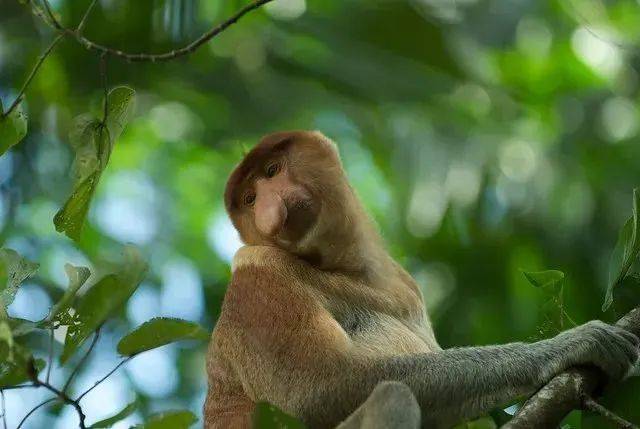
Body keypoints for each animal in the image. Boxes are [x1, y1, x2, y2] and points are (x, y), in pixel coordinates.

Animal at [204, 131, 636, 428]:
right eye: (250, 199)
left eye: (272, 171)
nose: (267, 209)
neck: (344, 268)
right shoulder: (258, 273)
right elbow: (318, 387)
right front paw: (578, 342)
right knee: (391, 395)